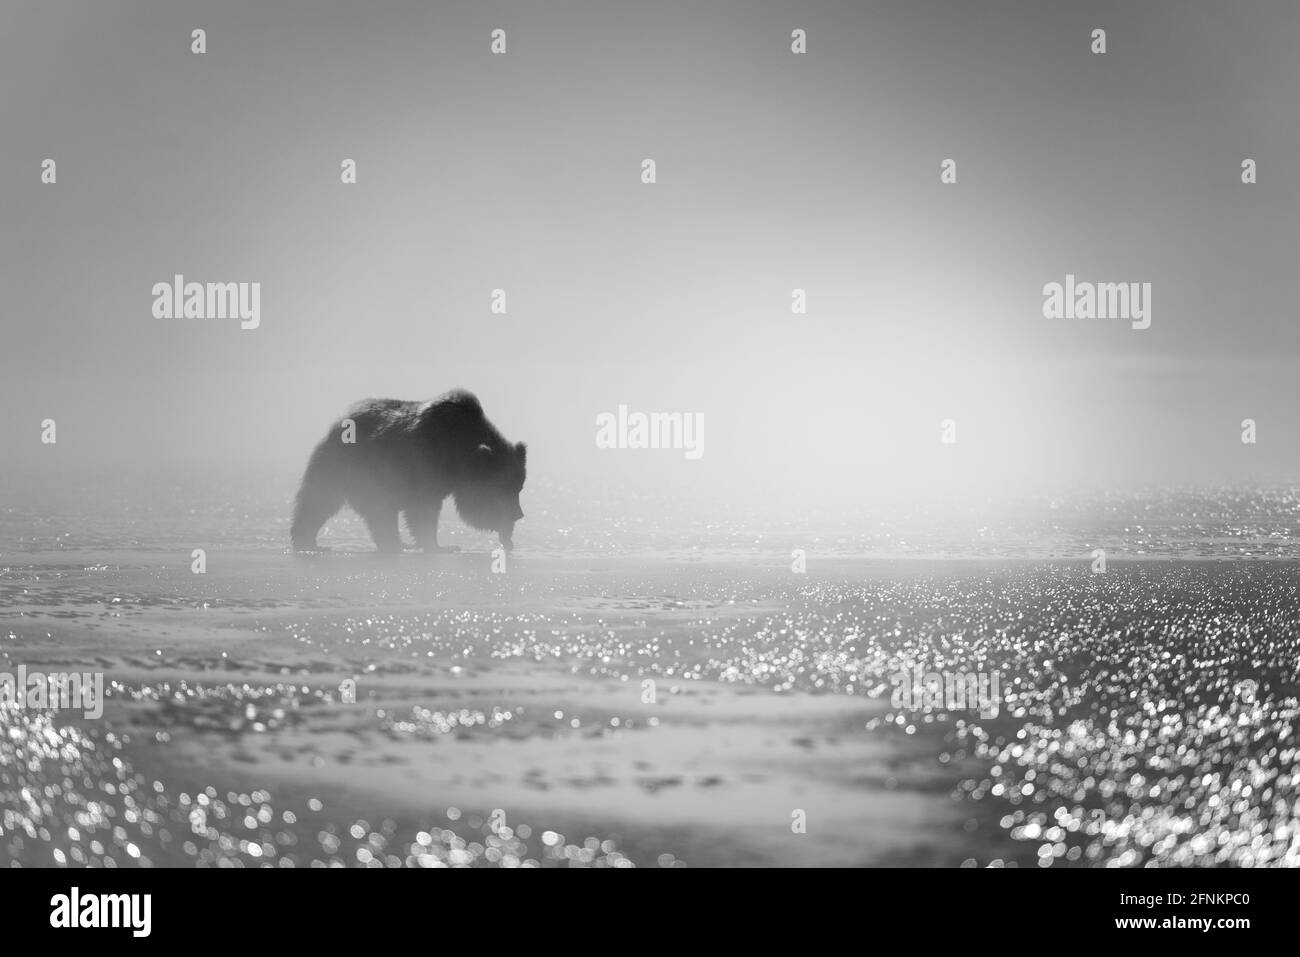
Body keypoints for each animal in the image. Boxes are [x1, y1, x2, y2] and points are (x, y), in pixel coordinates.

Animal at [289, 390, 522, 553]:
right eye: (505, 489)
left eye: (518, 487)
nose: (519, 514)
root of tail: (338, 422)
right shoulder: (425, 466)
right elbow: (423, 510)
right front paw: (441, 546)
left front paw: (506, 536)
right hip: (348, 468)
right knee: (320, 501)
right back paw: (308, 541)